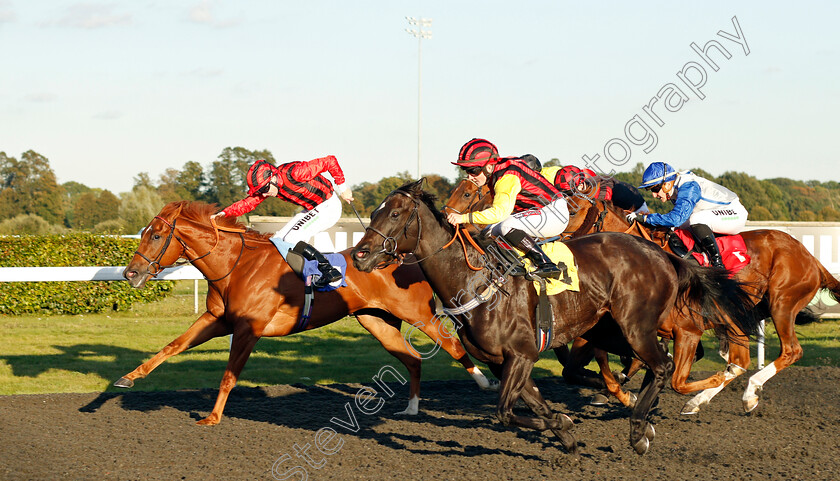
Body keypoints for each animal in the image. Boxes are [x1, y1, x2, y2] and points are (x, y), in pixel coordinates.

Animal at [121, 201, 496, 426]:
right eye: (142, 233)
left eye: (157, 236)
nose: (130, 273)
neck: (236, 265)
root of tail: (403, 257)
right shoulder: (217, 320)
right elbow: (173, 346)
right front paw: (129, 377)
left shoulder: (248, 328)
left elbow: (229, 375)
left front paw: (212, 418)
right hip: (376, 321)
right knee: (413, 359)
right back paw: (412, 407)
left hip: (420, 315)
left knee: (454, 345)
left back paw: (485, 383)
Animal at [352, 180, 756, 454]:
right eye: (375, 212)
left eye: (394, 213)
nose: (359, 255)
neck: (474, 279)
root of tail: (662, 254)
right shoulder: (506, 361)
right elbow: (534, 403)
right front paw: (566, 433)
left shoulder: (520, 354)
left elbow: (504, 411)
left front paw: (569, 421)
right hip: (611, 329)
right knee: (657, 363)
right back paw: (643, 412)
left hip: (636, 326)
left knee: (662, 366)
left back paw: (640, 428)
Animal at [560, 196, 840, 412]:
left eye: (572, 211)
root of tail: (813, 260)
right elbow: (586, 363)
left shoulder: (681, 328)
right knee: (736, 361)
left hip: (781, 303)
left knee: (789, 351)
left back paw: (747, 393)